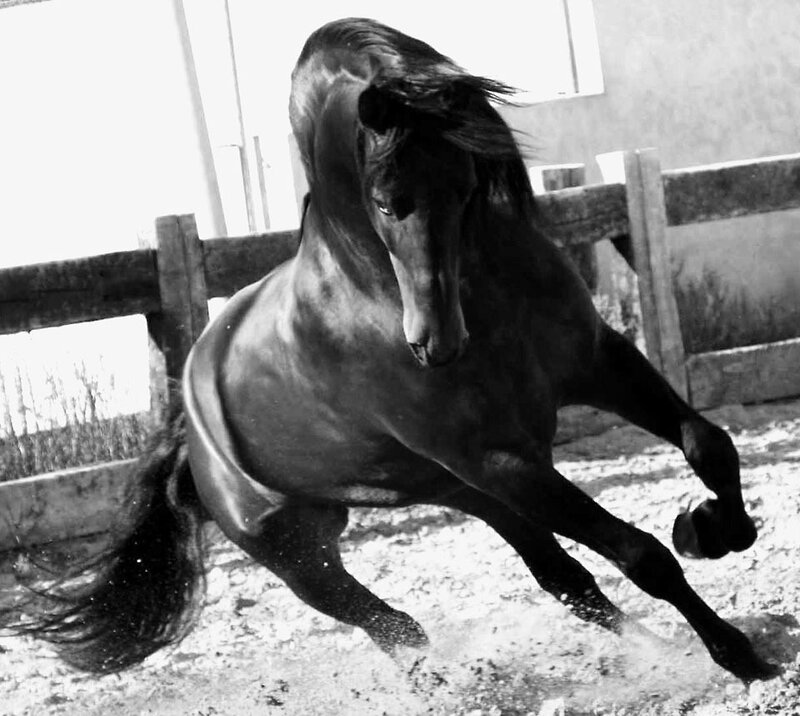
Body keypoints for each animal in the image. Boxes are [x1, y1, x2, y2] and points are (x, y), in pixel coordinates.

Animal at [4, 17, 778, 683]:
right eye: (383, 199)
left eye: (467, 183)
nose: (435, 344)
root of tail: (190, 431)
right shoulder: (499, 458)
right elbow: (641, 554)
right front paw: (739, 654)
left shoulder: (597, 365)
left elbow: (709, 444)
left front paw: (712, 529)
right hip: (309, 557)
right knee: (398, 628)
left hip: (468, 493)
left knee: (564, 583)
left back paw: (656, 653)